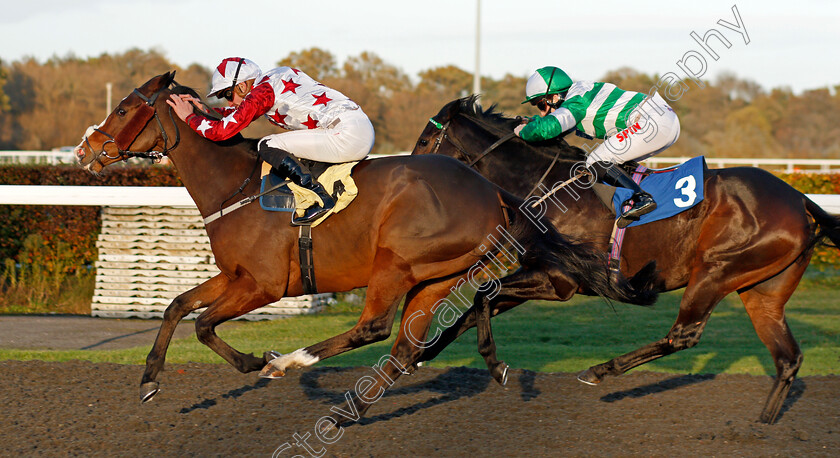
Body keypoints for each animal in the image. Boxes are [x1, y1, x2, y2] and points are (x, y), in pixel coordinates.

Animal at [75, 72, 660, 426]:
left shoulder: (263, 284)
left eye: (124, 108)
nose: (85, 150)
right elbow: (178, 306)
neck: (234, 185)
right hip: (437, 276)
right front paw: (149, 382)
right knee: (404, 344)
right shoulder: (235, 276)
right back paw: (353, 407)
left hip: (397, 263)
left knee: (375, 328)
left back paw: (293, 363)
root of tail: (494, 192)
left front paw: (258, 360)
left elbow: (201, 323)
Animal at [412, 95, 840, 424]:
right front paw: (419, 356)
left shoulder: (560, 278)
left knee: (683, 335)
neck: (548, 185)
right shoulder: (541, 274)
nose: (413, 170)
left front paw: (494, 365)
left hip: (716, 270)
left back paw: (600, 370)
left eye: (428, 137)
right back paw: (762, 426)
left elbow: (483, 293)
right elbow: (479, 304)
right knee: (788, 358)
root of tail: (801, 201)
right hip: (762, 290)